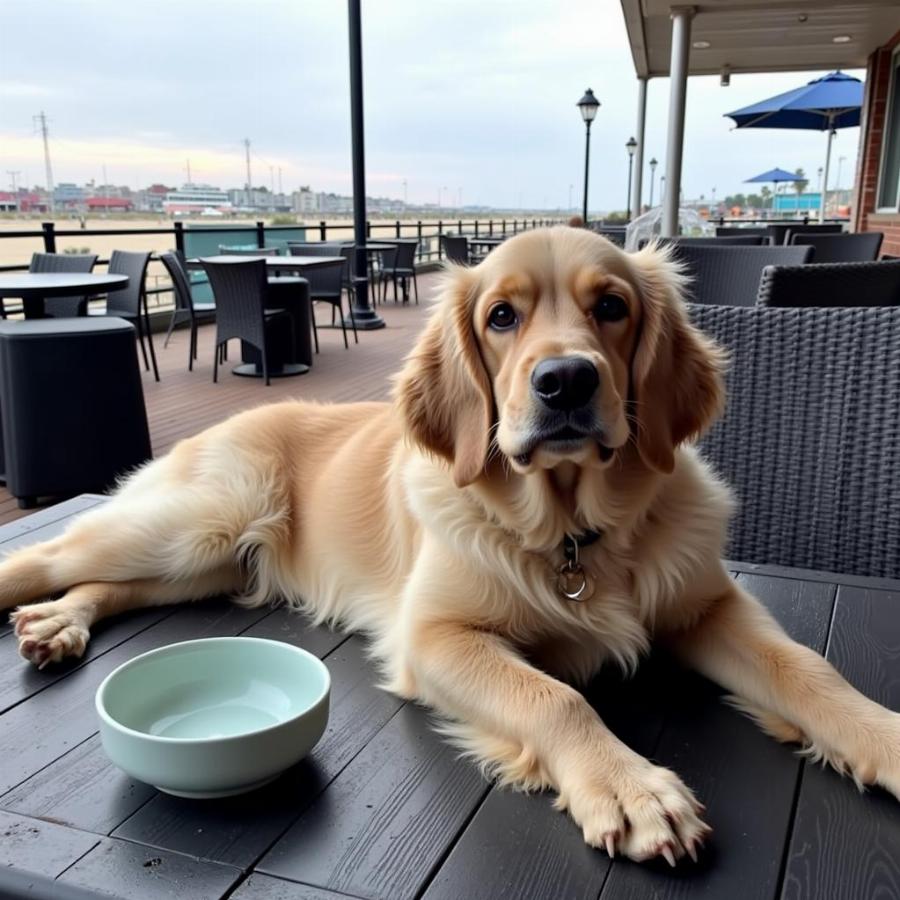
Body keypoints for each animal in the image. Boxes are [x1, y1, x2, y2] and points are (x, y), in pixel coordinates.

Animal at [1, 227, 900, 864]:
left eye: (611, 307)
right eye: (502, 317)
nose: (565, 382)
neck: (572, 534)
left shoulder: (708, 603)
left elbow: (807, 668)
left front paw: (882, 736)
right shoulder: (433, 637)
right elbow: (556, 697)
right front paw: (629, 786)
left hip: (206, 564)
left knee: (109, 581)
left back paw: (59, 625)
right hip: (201, 519)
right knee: (47, 559)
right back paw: (45, 609)